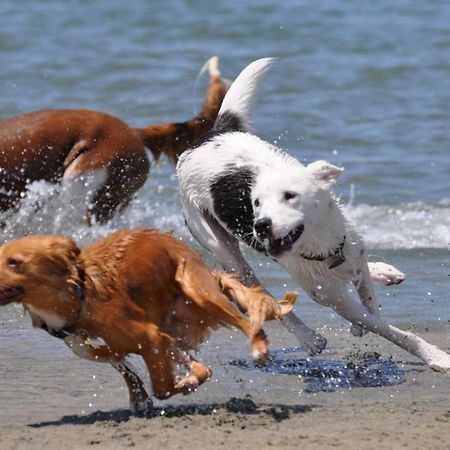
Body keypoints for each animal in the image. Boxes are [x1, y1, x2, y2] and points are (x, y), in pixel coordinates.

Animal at [0, 229, 296, 414]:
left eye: (14, 262)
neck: (79, 296)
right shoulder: (103, 348)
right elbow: (128, 369)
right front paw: (140, 398)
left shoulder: (150, 336)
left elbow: (162, 388)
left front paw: (181, 386)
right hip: (174, 325)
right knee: (199, 363)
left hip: (198, 290)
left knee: (245, 322)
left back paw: (258, 346)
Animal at [178, 59, 450, 370]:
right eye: (255, 202)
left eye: (290, 195)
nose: (260, 225)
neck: (326, 249)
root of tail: (208, 137)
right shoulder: (336, 300)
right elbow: (388, 329)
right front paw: (435, 355)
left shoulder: (352, 251)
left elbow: (369, 297)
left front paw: (367, 308)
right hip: (218, 244)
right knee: (258, 290)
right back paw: (308, 337)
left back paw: (383, 271)